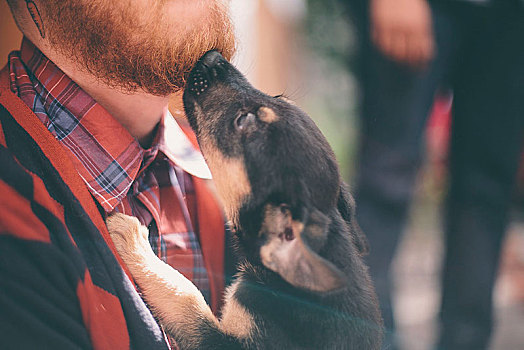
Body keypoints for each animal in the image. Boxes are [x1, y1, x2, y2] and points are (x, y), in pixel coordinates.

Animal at [108, 50, 382, 348]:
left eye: (243, 121)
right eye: (277, 97)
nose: (213, 57)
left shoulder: (232, 341)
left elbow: (186, 295)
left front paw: (133, 241)